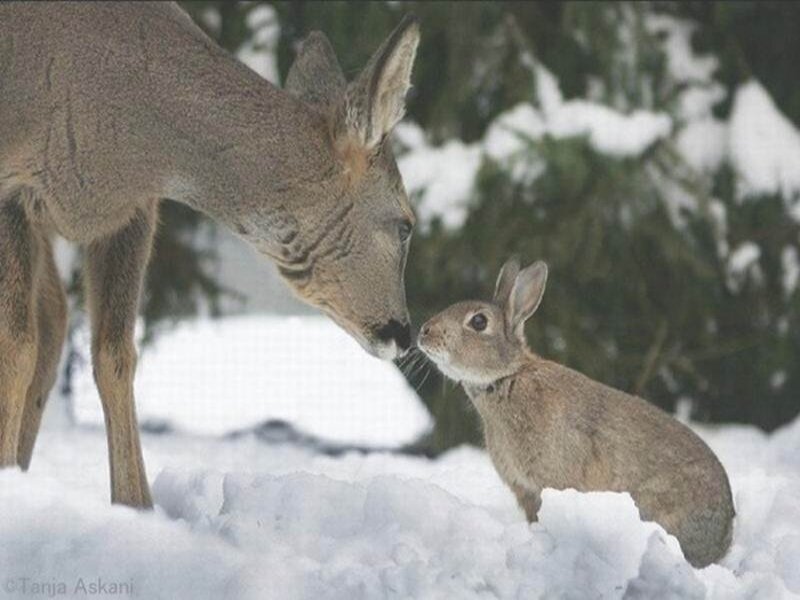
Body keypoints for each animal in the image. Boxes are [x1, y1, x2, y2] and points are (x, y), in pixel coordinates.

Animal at [0, 2, 420, 508]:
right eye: (406, 224)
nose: (403, 332)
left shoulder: (133, 211)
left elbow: (115, 355)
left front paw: (136, 506)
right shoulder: (12, 188)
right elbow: (15, 347)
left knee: (55, 319)